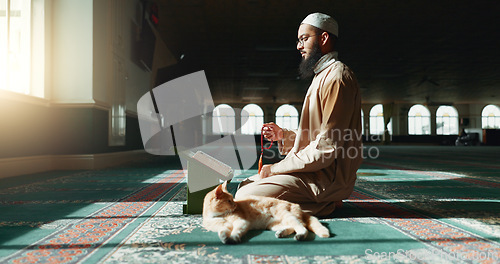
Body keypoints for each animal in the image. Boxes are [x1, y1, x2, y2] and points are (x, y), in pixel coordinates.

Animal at [201, 182, 330, 243]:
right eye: (229, 201)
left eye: (232, 199)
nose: (235, 205)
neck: (216, 216)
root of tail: (299, 207)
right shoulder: (222, 225)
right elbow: (223, 230)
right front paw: (224, 237)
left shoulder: (241, 222)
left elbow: (236, 231)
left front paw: (232, 238)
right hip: (273, 224)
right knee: (293, 227)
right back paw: (281, 233)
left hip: (286, 215)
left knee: (302, 227)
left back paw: (300, 236)